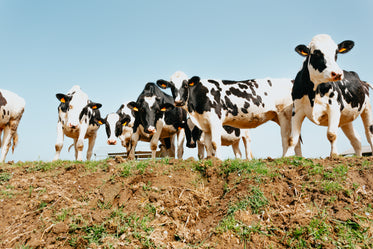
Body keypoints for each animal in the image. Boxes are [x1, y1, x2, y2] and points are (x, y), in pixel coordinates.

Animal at [155, 71, 300, 159]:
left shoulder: (215, 121)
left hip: (283, 115)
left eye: (185, 85)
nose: (178, 101)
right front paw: (211, 160)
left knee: (285, 138)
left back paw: (285, 158)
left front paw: (218, 160)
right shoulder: (205, 124)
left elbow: (215, 143)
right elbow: (208, 145)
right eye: (171, 86)